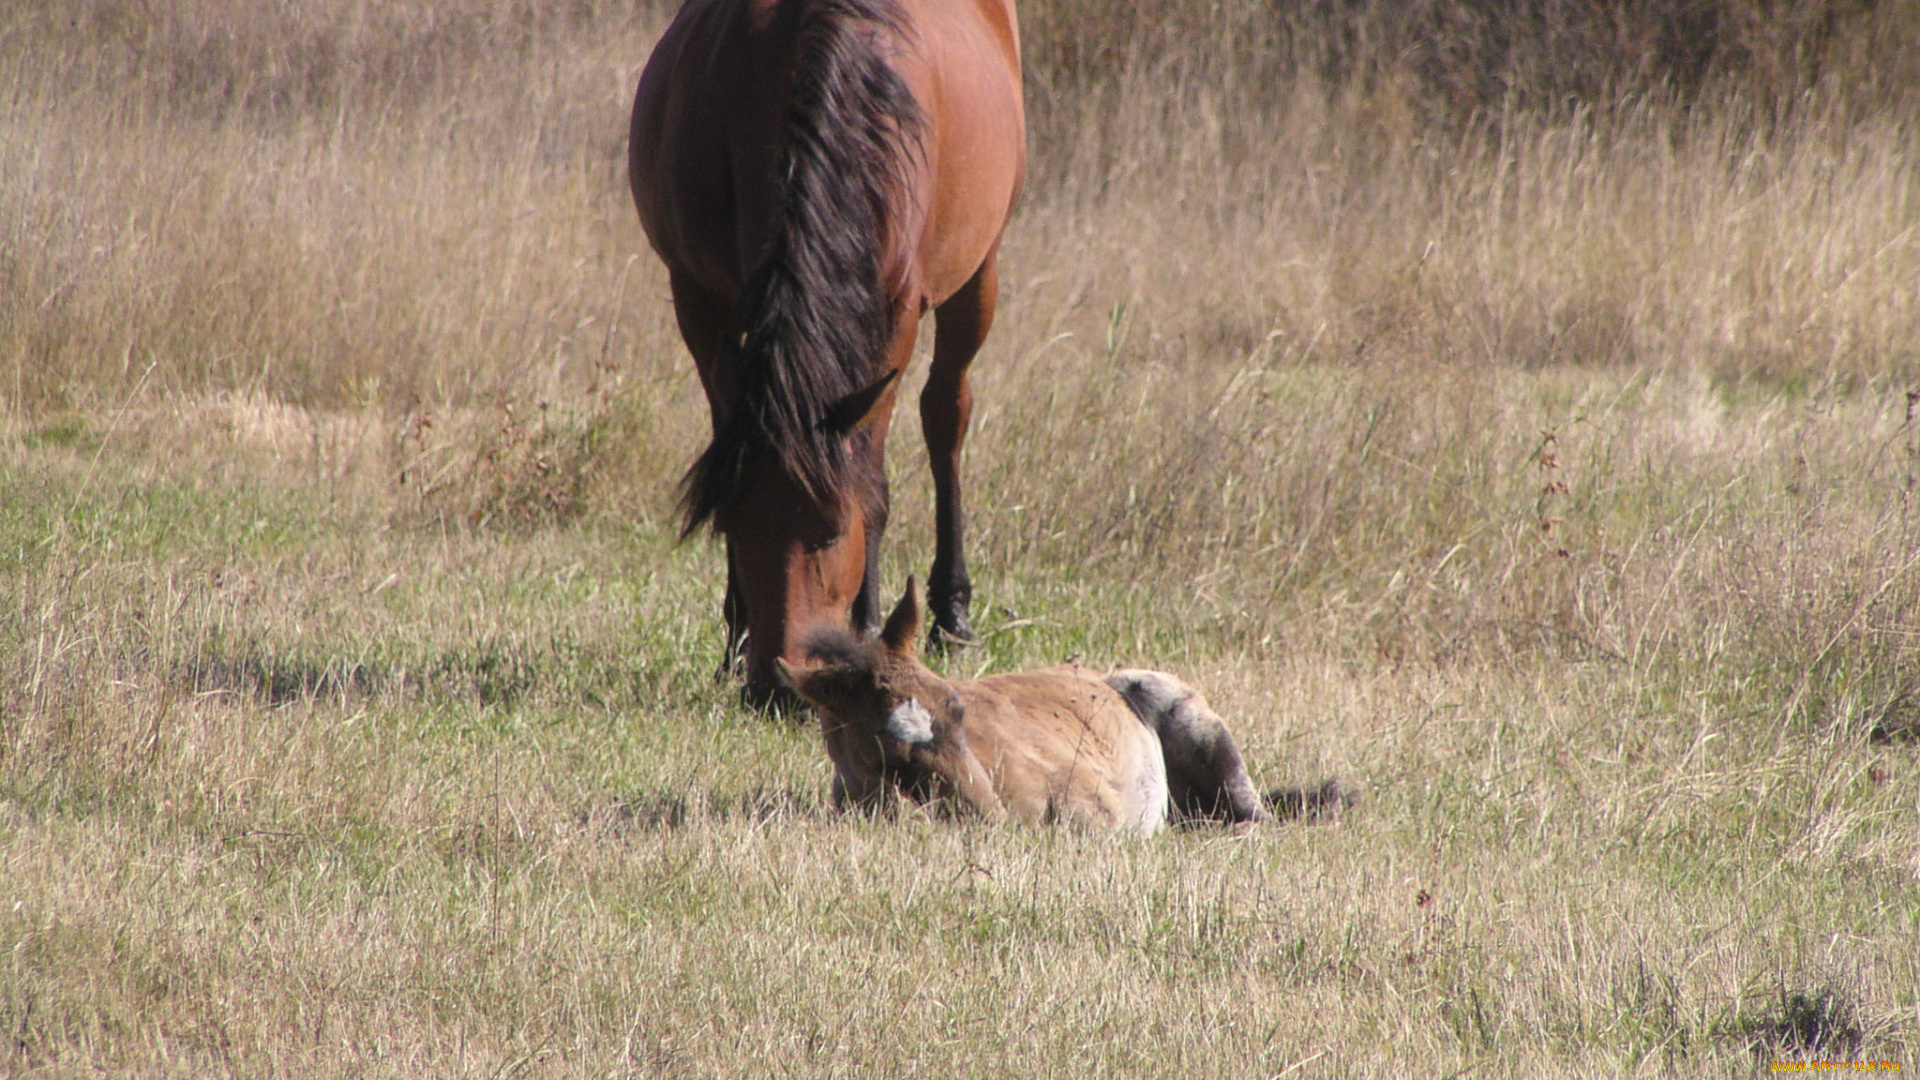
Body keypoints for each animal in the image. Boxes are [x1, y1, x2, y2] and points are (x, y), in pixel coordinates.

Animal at [629, 0, 1029, 703]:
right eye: (731, 525)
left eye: (835, 529)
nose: (777, 687)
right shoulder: (696, 296)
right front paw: (734, 640)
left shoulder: (896, 308)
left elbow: (870, 473)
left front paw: (867, 628)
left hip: (980, 270)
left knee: (946, 414)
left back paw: (952, 616)